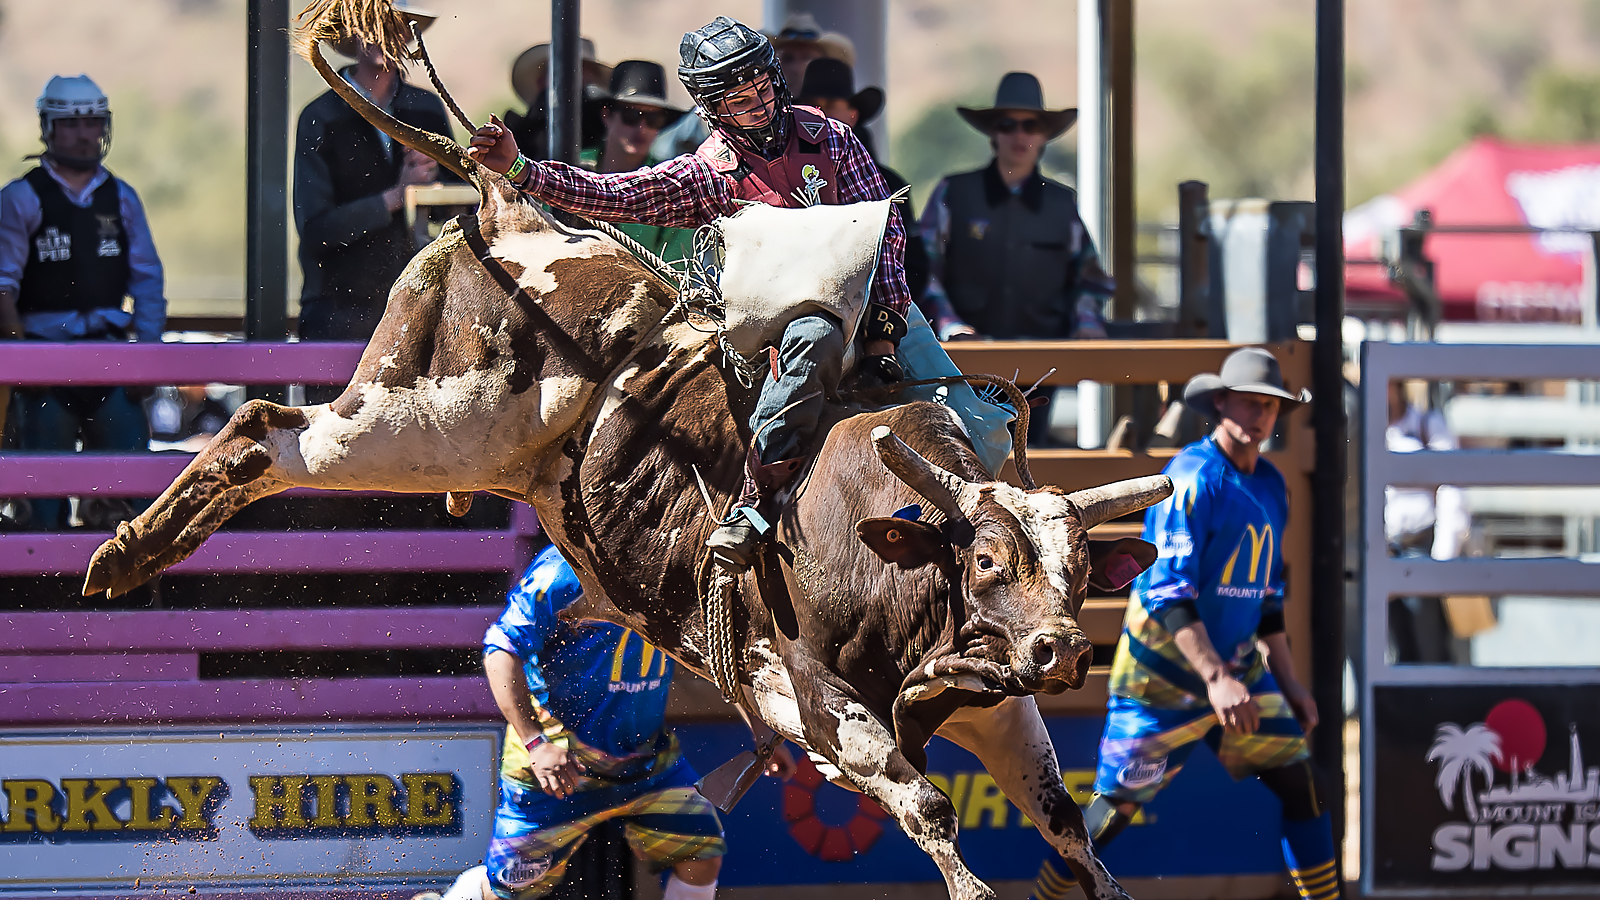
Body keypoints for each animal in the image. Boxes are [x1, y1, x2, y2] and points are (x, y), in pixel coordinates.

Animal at [81, 5, 1177, 890]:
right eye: (985, 558)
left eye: (1082, 570)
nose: (1063, 648)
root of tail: (511, 216)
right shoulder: (811, 700)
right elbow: (929, 808)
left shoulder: (996, 700)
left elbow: (1068, 826)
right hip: (419, 421)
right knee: (264, 433)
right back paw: (123, 555)